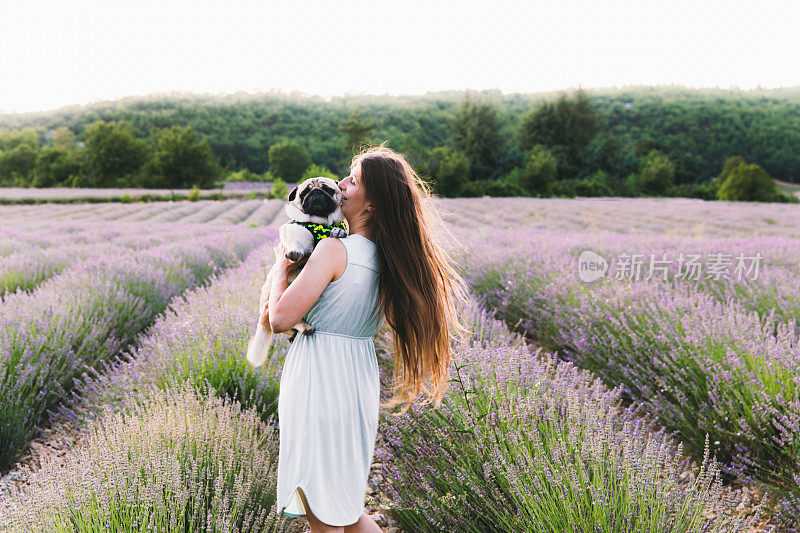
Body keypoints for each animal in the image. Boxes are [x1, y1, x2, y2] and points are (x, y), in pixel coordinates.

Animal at [244, 177, 344, 368]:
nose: (316, 193)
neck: (320, 223)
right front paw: (295, 252)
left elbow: (338, 230)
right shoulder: (295, 232)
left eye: (328, 189)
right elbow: (297, 242)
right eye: (304, 193)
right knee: (293, 321)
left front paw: (338, 231)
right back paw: (304, 328)